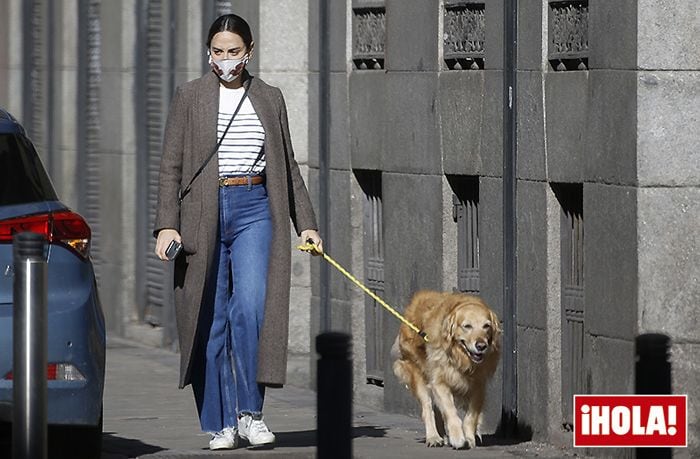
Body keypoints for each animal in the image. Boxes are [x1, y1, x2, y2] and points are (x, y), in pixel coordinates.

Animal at [392, 292, 500, 450]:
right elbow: (450, 411)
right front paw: (457, 437)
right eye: (467, 326)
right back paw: (434, 437)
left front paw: (469, 436)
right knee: (427, 408)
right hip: (417, 372)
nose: (481, 346)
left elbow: (471, 416)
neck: (461, 357)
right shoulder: (439, 382)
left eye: (486, 326)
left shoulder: (478, 386)